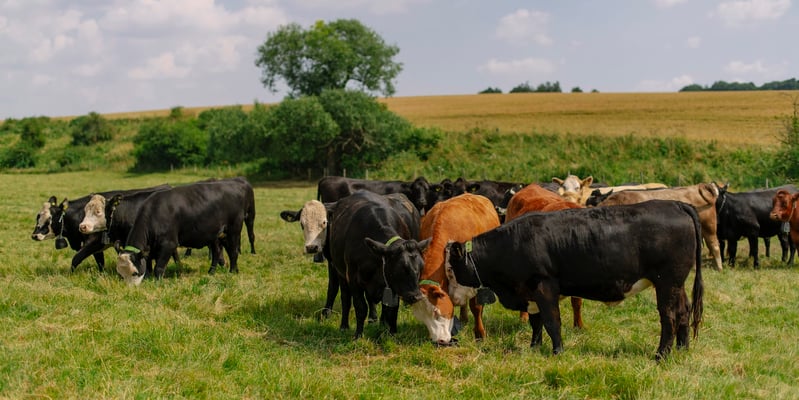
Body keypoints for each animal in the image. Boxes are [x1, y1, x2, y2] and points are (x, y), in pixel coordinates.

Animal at [30, 184, 169, 272]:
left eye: (49, 219)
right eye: (37, 217)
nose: (34, 235)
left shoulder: (93, 242)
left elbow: (76, 259)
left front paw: (70, 275)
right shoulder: (97, 247)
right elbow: (100, 262)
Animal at [113, 178, 250, 284]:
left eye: (134, 273)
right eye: (120, 273)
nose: (131, 289)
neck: (155, 212)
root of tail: (234, 184)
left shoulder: (169, 244)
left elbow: (159, 267)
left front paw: (158, 282)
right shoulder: (151, 248)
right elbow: (148, 265)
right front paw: (147, 278)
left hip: (234, 230)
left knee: (233, 252)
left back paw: (232, 272)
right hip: (216, 234)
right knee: (218, 253)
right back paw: (212, 272)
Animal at [446, 200, 704, 360]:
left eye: (450, 269)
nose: (452, 299)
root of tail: (676, 204)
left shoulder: (544, 285)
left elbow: (552, 321)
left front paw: (557, 351)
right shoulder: (531, 292)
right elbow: (536, 322)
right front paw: (534, 347)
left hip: (667, 282)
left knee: (669, 316)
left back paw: (661, 355)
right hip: (676, 283)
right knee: (684, 311)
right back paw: (682, 348)